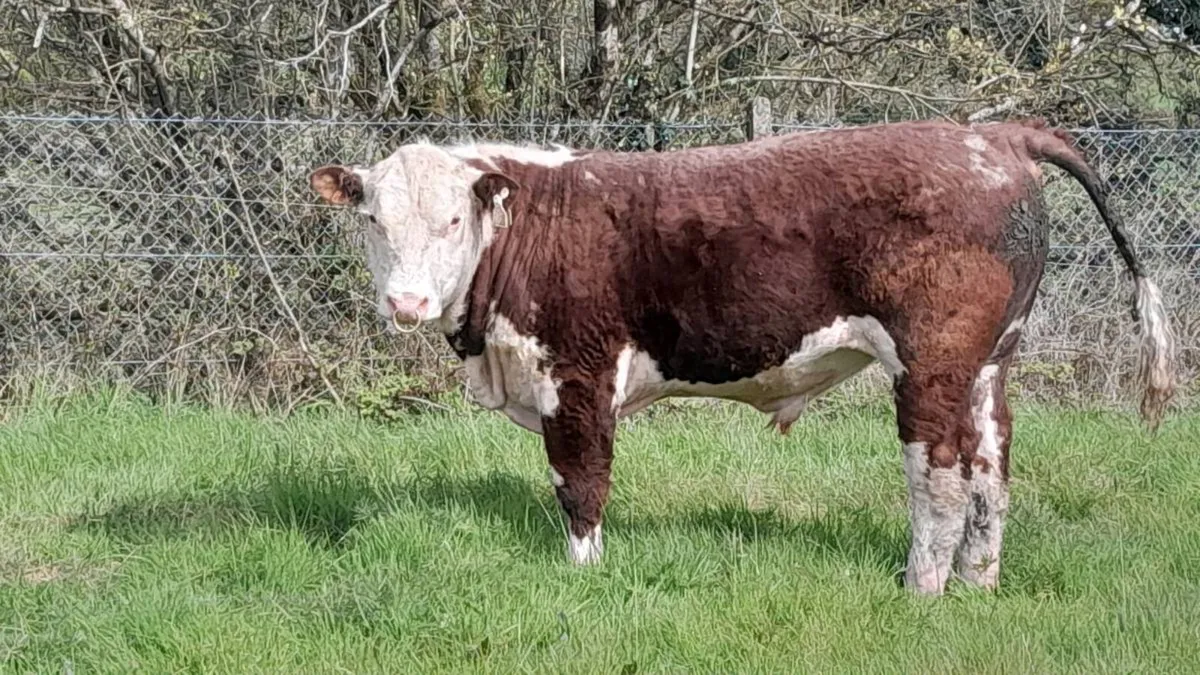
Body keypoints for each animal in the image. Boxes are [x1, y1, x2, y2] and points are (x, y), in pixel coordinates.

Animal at [309, 119, 1176, 595]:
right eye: (374, 220)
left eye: (454, 220)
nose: (407, 303)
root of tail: (990, 133)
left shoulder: (579, 372)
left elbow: (581, 483)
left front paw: (583, 574)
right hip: (992, 362)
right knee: (993, 468)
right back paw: (975, 580)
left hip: (932, 361)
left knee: (940, 473)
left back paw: (922, 587)